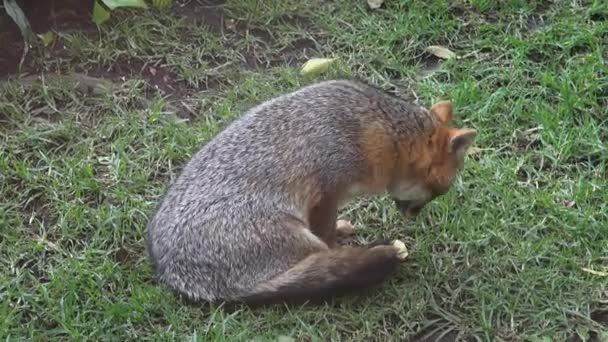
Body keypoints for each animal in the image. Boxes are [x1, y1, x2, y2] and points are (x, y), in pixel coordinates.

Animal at [145, 79, 478, 306]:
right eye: (438, 191)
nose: (413, 215)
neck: (379, 129)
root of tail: (173, 272)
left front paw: (343, 229)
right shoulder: (327, 193)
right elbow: (327, 235)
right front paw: (341, 242)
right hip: (294, 233)